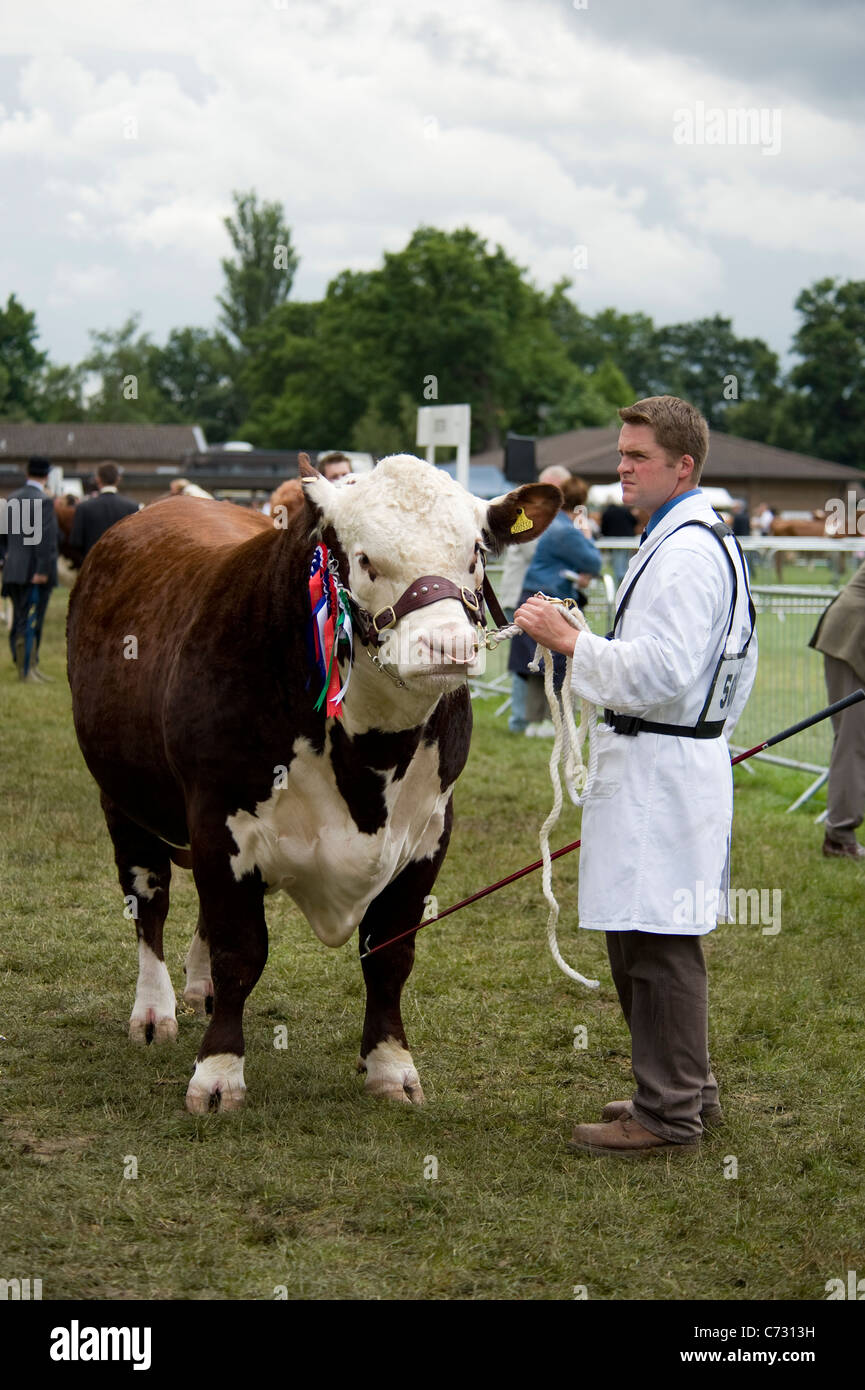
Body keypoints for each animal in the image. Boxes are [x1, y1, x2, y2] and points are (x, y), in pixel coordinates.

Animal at [67, 454, 560, 1114]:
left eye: (477, 552)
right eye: (367, 558)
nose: (447, 646)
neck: (370, 758)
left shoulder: (431, 831)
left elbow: (390, 952)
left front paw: (391, 1065)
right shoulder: (218, 818)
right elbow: (240, 950)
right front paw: (218, 1074)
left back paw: (198, 988)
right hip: (124, 802)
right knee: (150, 901)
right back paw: (154, 1010)